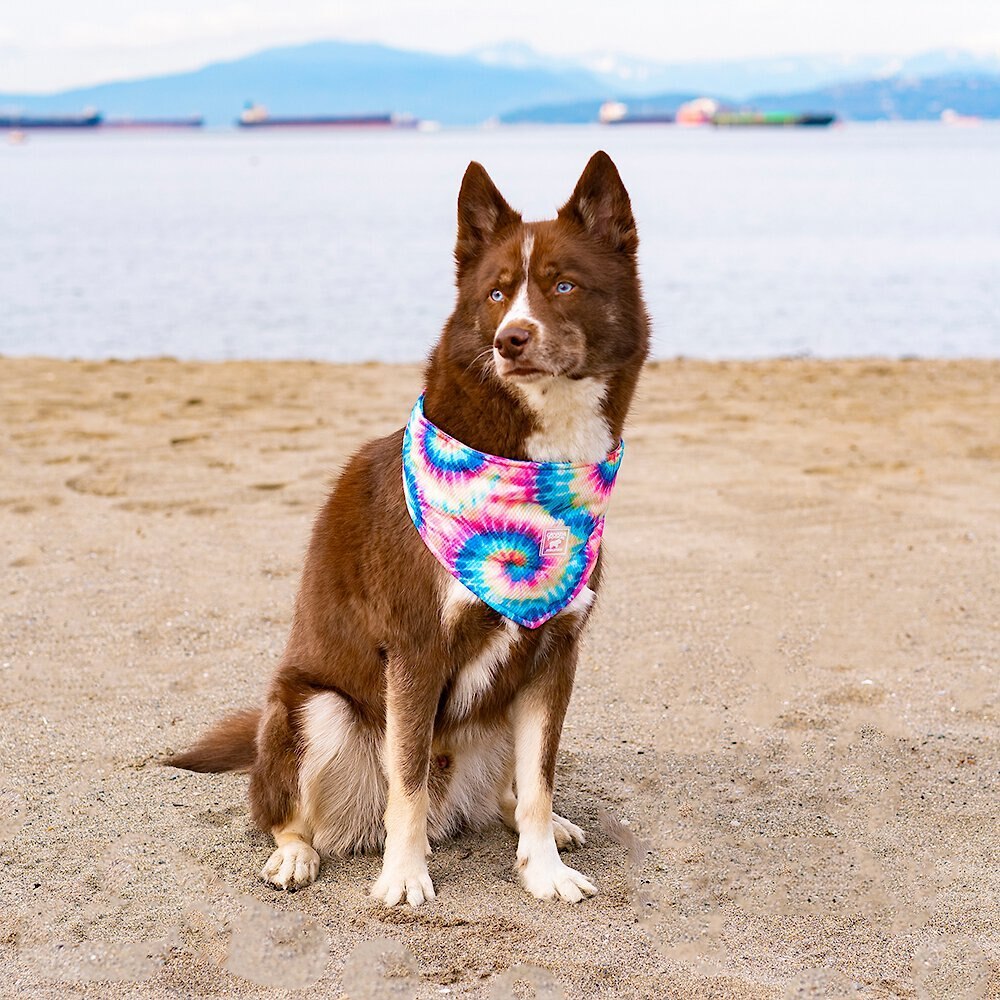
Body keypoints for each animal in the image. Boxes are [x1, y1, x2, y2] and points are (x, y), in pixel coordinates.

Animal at [168, 150, 652, 908]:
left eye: (564, 285)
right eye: (495, 294)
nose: (512, 339)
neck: (531, 468)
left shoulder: (555, 656)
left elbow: (538, 783)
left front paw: (542, 868)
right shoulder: (416, 651)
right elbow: (409, 779)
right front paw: (404, 875)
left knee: (510, 791)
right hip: (313, 709)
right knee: (282, 811)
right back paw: (295, 854)